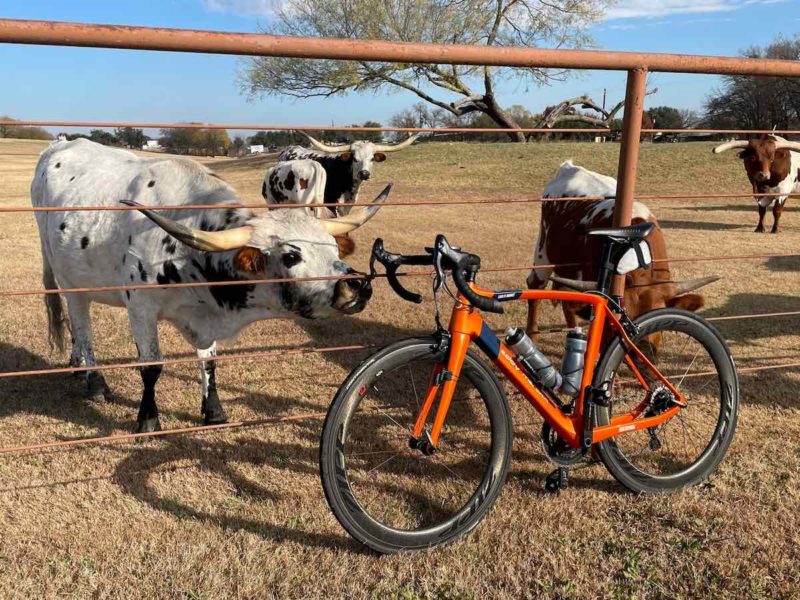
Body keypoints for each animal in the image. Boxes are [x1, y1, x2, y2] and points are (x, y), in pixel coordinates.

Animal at [34, 139, 388, 434]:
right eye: (291, 255)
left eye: (333, 247)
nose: (357, 285)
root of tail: (60, 145)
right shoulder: (141, 308)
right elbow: (151, 366)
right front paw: (148, 419)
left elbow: (209, 361)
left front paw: (214, 411)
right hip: (66, 277)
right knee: (82, 326)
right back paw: (94, 380)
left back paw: (78, 364)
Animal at [270, 132, 418, 214]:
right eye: (355, 158)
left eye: (372, 158)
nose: (364, 174)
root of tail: (289, 149)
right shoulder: (330, 204)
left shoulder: (348, 206)